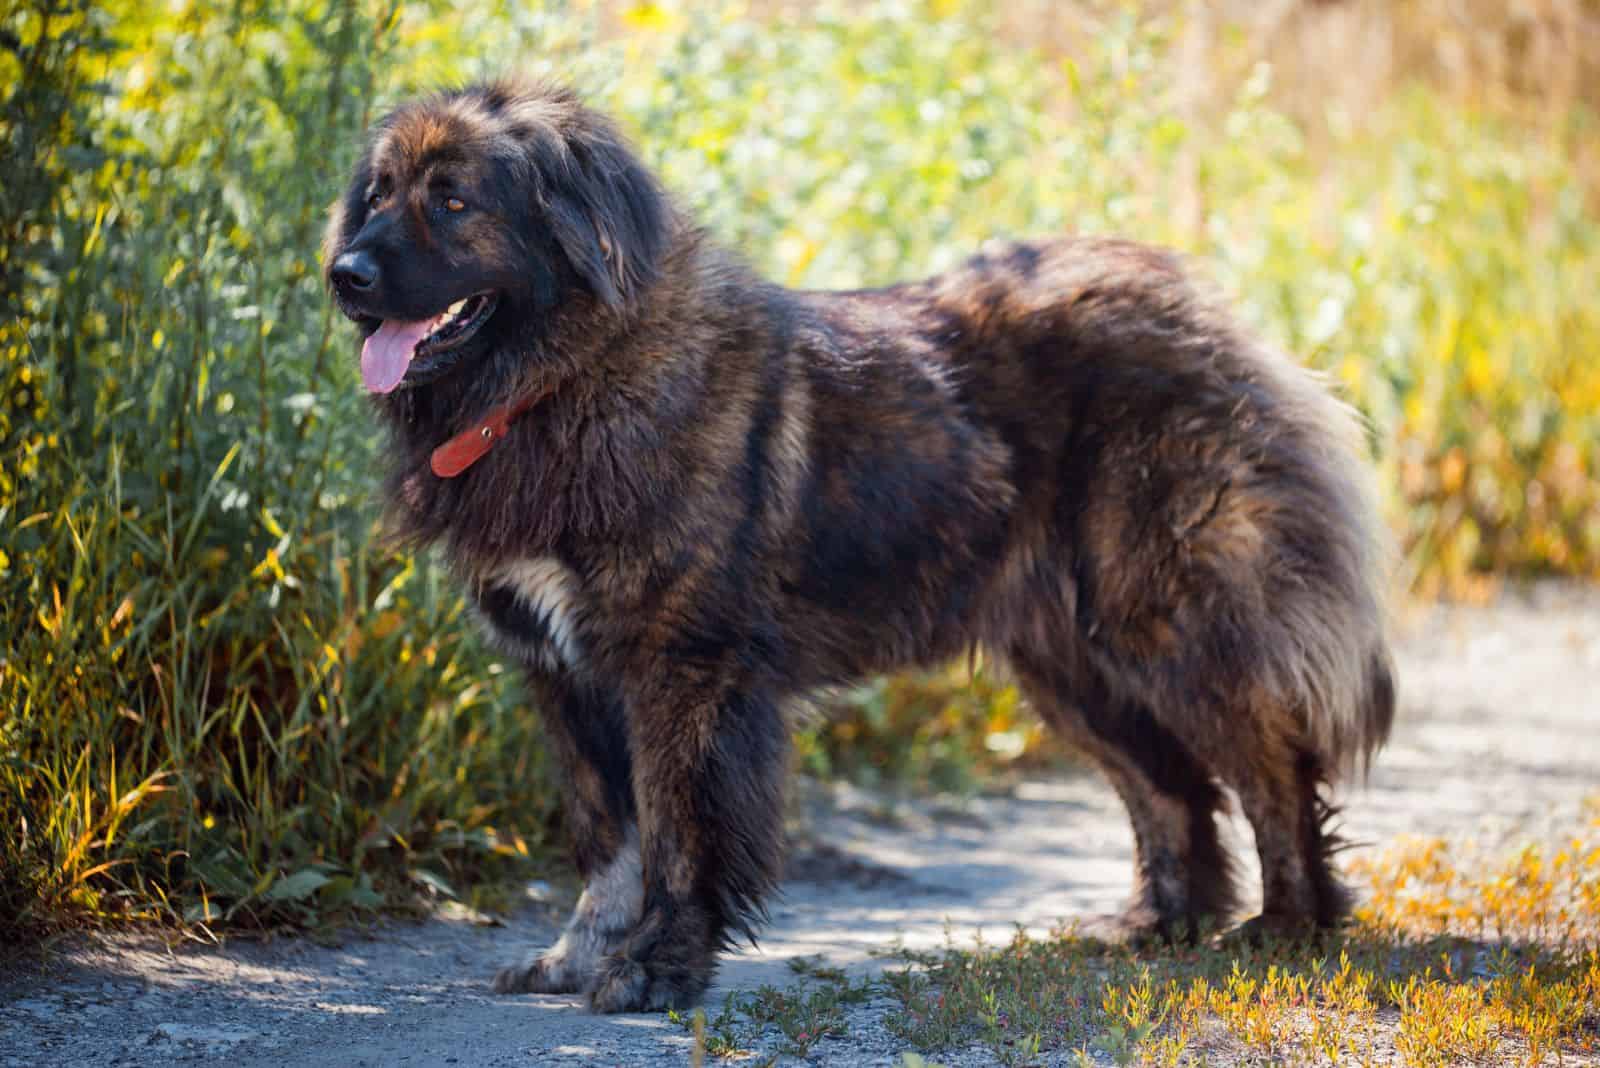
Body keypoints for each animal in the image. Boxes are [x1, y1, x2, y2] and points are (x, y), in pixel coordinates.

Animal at [321, 79, 1388, 1016]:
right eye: (377, 195)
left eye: (453, 200)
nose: (345, 276)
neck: (563, 382)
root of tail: (1206, 311)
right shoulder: (564, 672)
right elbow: (606, 841)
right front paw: (578, 958)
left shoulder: (681, 670)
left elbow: (674, 838)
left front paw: (656, 970)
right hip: (1069, 663)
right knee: (1171, 787)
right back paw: (1158, 924)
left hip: (1163, 621)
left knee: (1270, 766)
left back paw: (1288, 925)